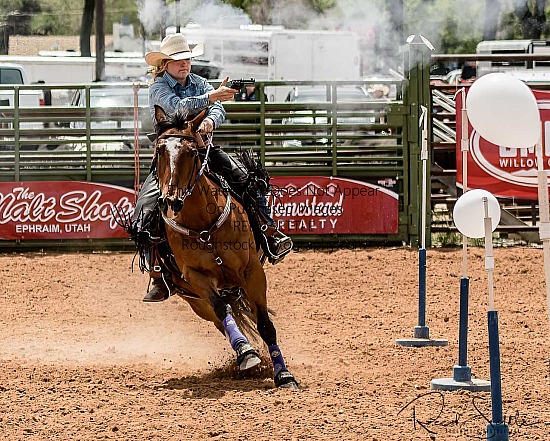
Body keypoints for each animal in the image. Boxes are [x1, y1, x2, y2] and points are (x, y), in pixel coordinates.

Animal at [151, 105, 300, 386]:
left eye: (191, 152)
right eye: (159, 151)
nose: (170, 201)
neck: (203, 225)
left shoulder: (253, 272)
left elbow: (265, 325)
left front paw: (283, 374)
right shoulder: (196, 277)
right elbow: (222, 309)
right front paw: (247, 354)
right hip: (196, 301)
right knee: (223, 318)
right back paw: (244, 353)